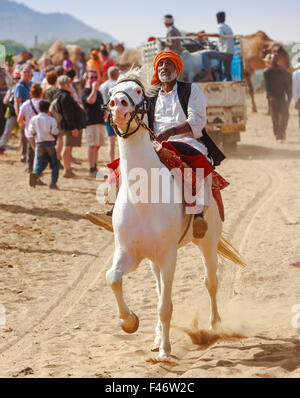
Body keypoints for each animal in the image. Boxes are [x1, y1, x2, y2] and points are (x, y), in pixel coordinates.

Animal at [103, 74, 244, 360]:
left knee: (211, 281)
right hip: (153, 260)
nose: (118, 104)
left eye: (136, 91)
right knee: (160, 288)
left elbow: (165, 306)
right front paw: (130, 322)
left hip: (208, 242)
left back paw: (215, 325)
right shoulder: (129, 252)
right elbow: (113, 278)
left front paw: (166, 352)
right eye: (111, 92)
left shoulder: (169, 254)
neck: (143, 196)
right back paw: (157, 337)